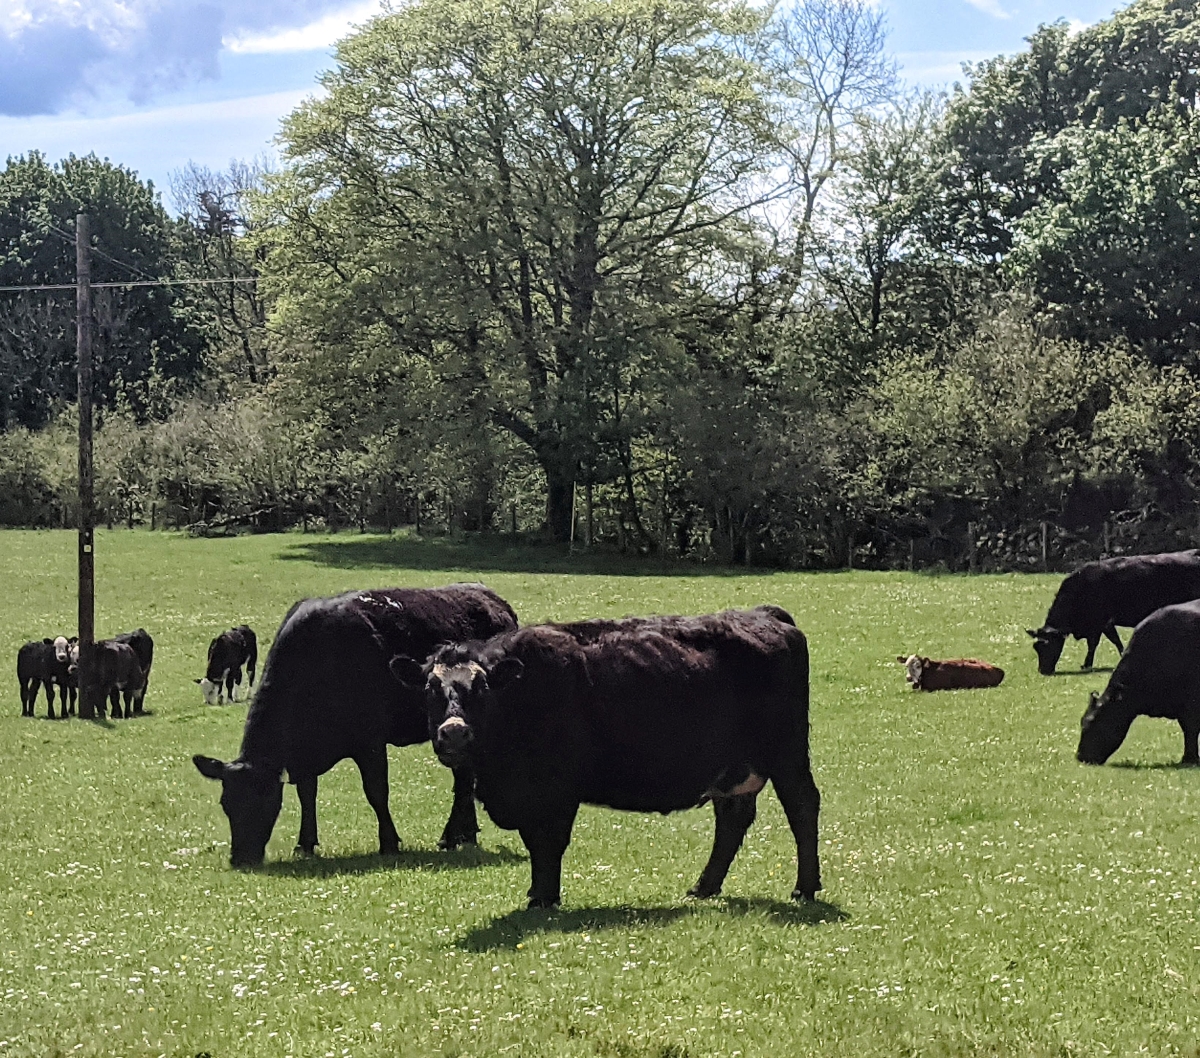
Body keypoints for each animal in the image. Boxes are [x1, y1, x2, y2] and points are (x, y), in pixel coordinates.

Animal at [190, 585, 516, 863]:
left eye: (264, 800)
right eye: (226, 804)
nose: (240, 858)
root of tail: (493, 599)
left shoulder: (370, 742)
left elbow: (376, 791)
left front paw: (389, 841)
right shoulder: (305, 752)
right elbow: (307, 794)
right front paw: (305, 843)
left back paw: (452, 836)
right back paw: (465, 834)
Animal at [388, 602, 820, 906]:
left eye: (481, 688)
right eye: (429, 689)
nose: (454, 732)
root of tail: (765, 615)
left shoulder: (557, 791)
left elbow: (549, 842)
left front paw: (544, 897)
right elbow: (535, 841)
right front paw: (539, 893)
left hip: (788, 755)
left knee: (802, 806)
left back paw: (805, 887)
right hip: (732, 769)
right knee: (731, 821)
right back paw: (704, 887)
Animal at [1027, 549, 1200, 671]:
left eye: (1048, 645)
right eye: (1036, 647)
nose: (1043, 671)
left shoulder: (1100, 622)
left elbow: (1095, 644)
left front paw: (1087, 664)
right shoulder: (1106, 624)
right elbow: (1114, 640)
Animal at [1084, 597, 1200, 762]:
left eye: (1094, 721)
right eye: (1082, 721)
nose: (1080, 756)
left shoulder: (1191, 705)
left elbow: (1190, 730)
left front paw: (1189, 759)